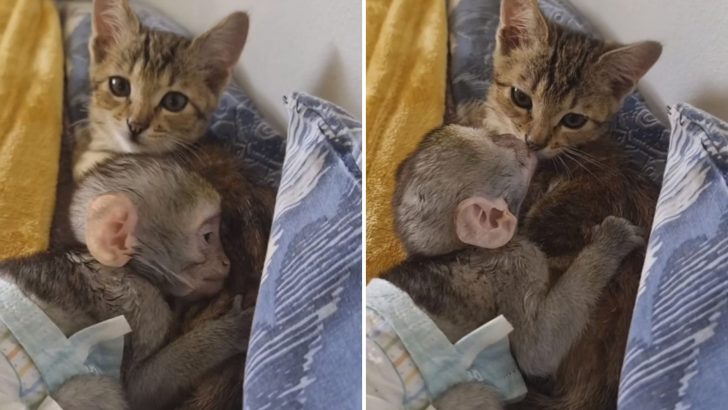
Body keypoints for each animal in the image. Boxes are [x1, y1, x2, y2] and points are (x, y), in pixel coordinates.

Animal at [0, 155, 252, 410]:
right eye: (208, 237)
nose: (226, 262)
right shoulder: (144, 301)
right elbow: (139, 390)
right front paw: (232, 330)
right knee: (102, 389)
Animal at [366, 125, 644, 410]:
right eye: (500, 142)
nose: (517, 139)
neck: (459, 251)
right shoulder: (520, 259)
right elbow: (535, 353)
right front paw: (610, 241)